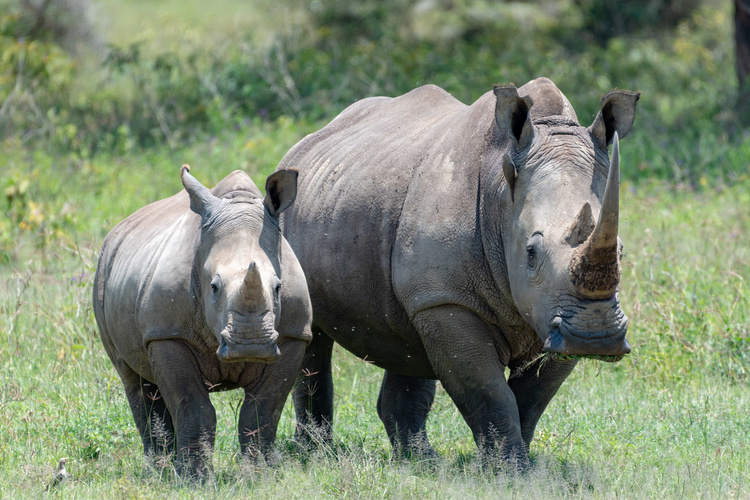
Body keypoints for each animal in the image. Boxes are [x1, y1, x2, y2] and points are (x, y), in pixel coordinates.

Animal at [95, 166, 312, 474]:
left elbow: (261, 411)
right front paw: (193, 477)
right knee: (135, 381)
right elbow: (193, 408)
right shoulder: (168, 333)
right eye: (214, 287)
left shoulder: (294, 334)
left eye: (279, 287)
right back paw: (159, 470)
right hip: (103, 270)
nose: (251, 344)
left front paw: (259, 474)